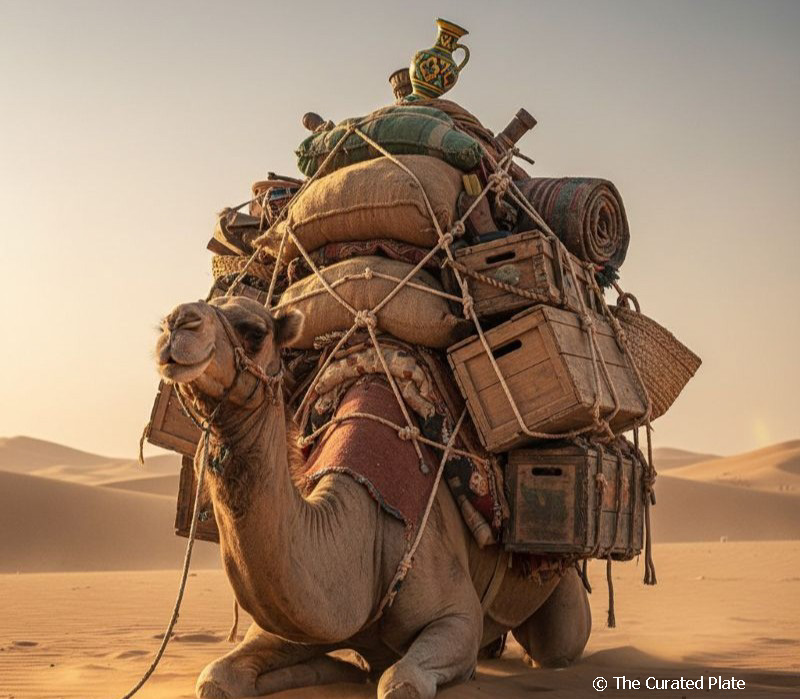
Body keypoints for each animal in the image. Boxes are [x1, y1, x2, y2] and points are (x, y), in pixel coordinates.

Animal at [155, 294, 591, 699]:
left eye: (255, 331)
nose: (176, 321)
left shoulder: (457, 617)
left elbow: (401, 682)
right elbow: (217, 678)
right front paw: (338, 667)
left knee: (557, 646)